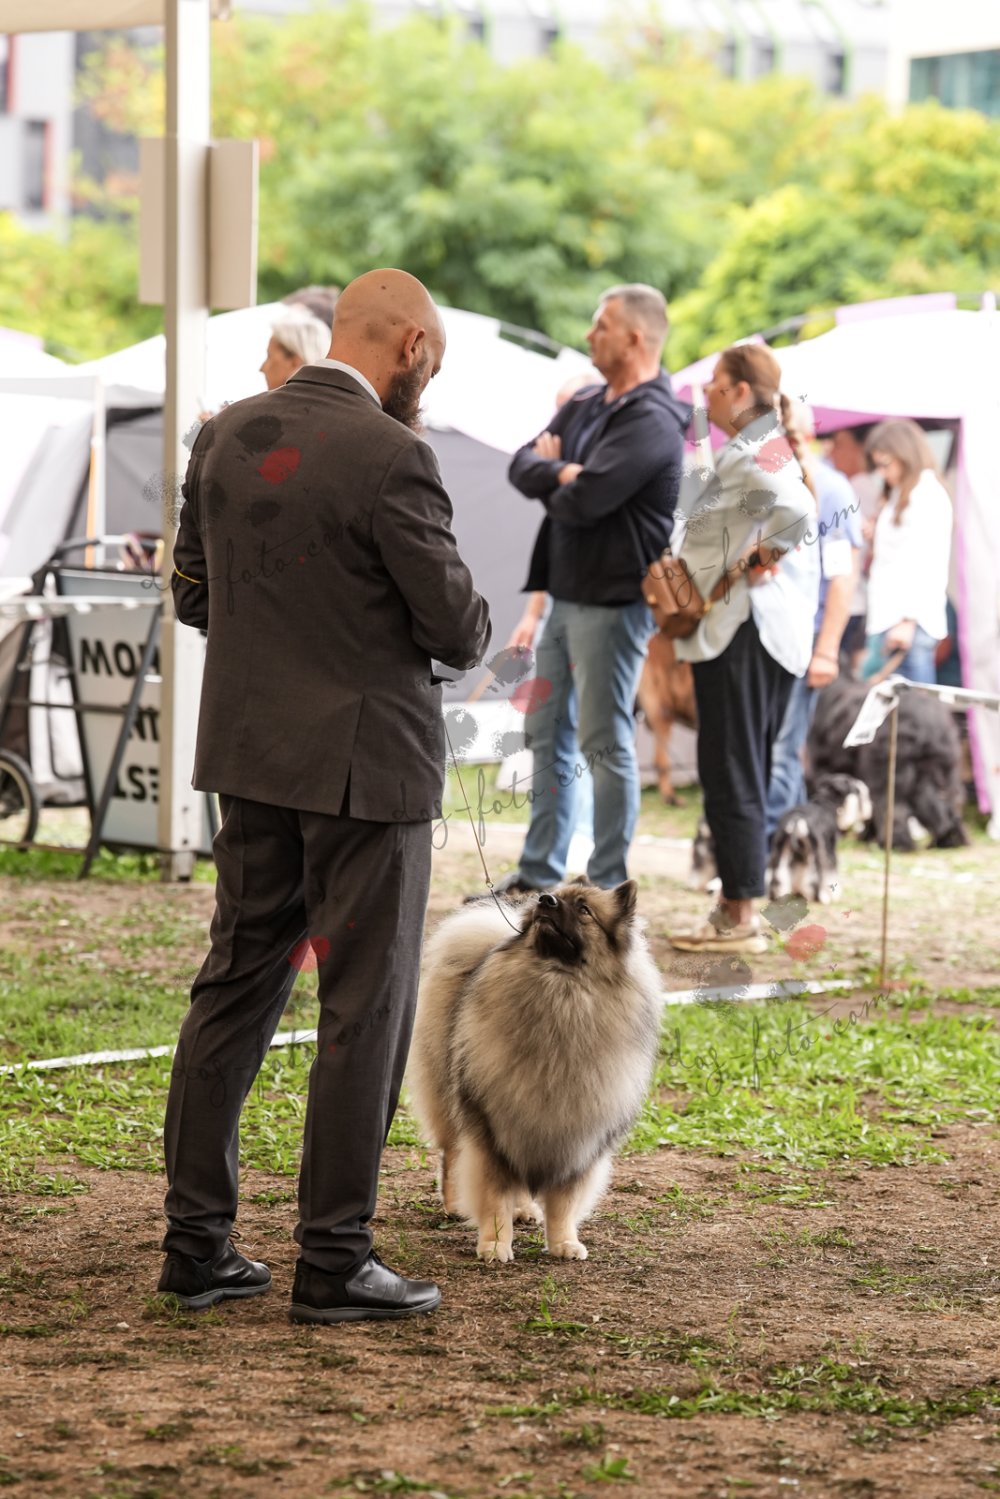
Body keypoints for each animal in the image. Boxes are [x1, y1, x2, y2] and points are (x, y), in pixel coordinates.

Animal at [407, 881, 662, 1264]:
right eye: (556, 893)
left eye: (584, 909)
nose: (545, 900)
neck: (559, 991)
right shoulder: (491, 1134)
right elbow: (494, 1196)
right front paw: (495, 1244)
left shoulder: (573, 1141)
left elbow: (563, 1202)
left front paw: (563, 1242)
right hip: (450, 1100)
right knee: (451, 1155)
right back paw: (453, 1205)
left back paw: (525, 1210)